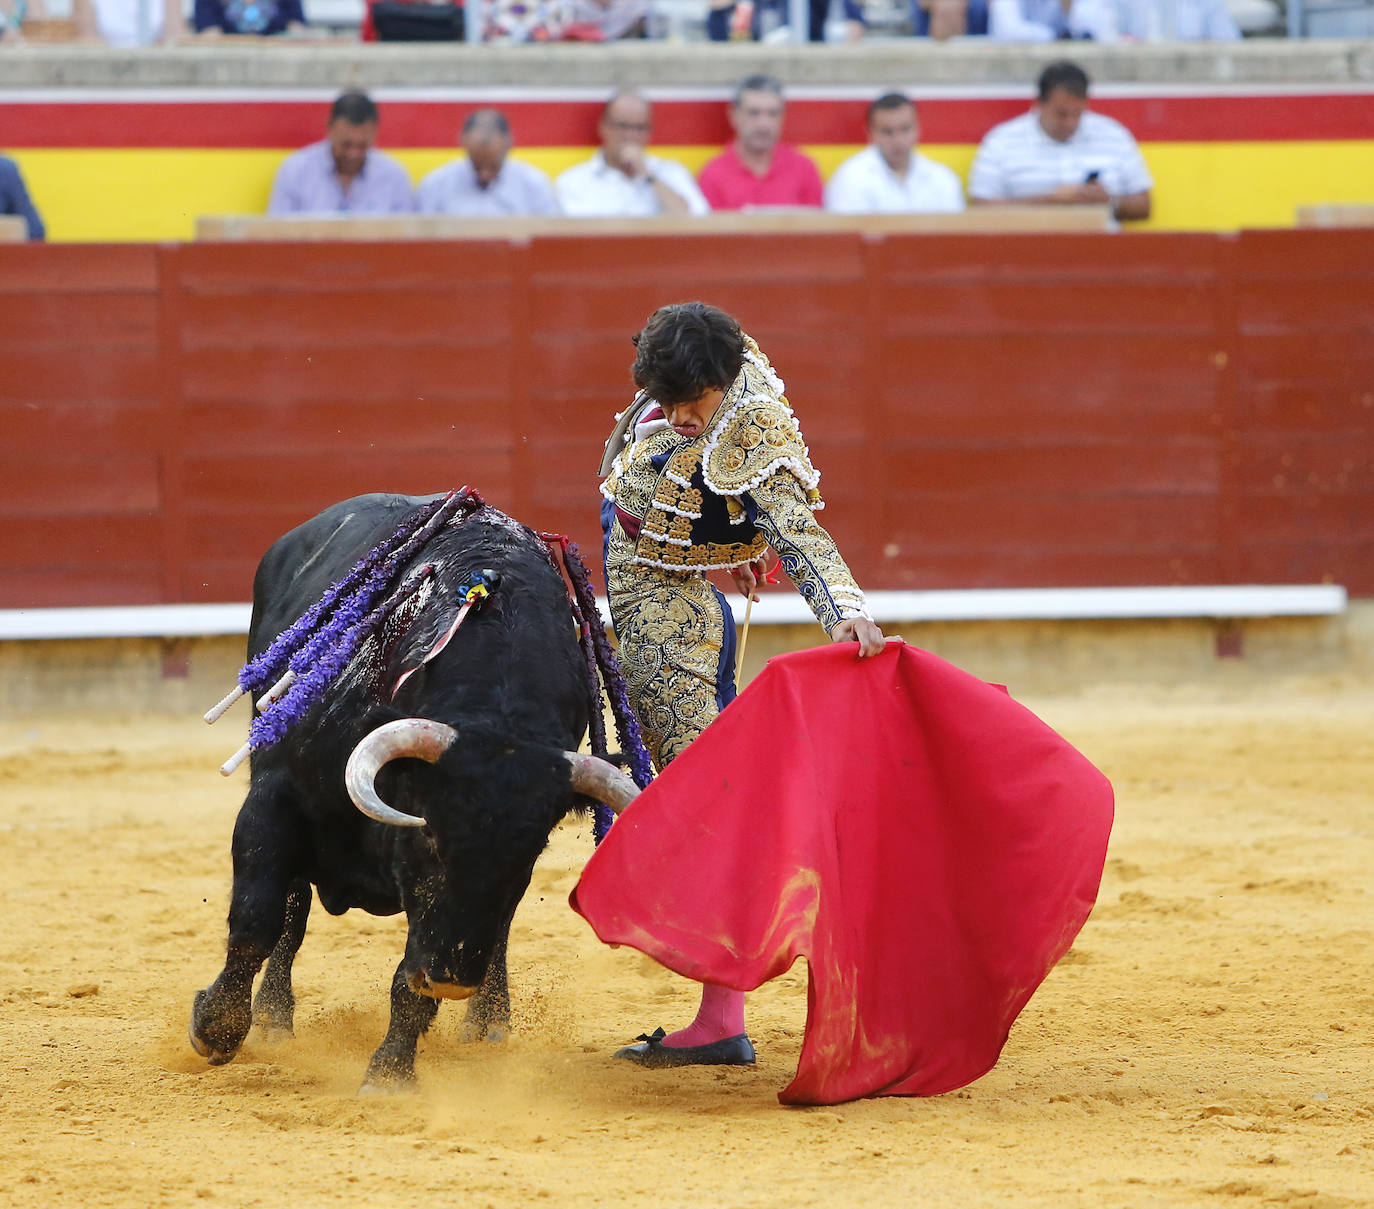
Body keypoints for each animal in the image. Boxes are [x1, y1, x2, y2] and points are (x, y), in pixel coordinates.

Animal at [189, 494, 637, 1093]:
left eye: (527, 855)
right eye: (430, 840)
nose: (452, 978)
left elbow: (412, 976)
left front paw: (391, 1073)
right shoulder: (274, 801)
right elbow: (259, 919)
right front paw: (214, 1029)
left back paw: (489, 1022)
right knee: (293, 910)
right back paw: (273, 1019)